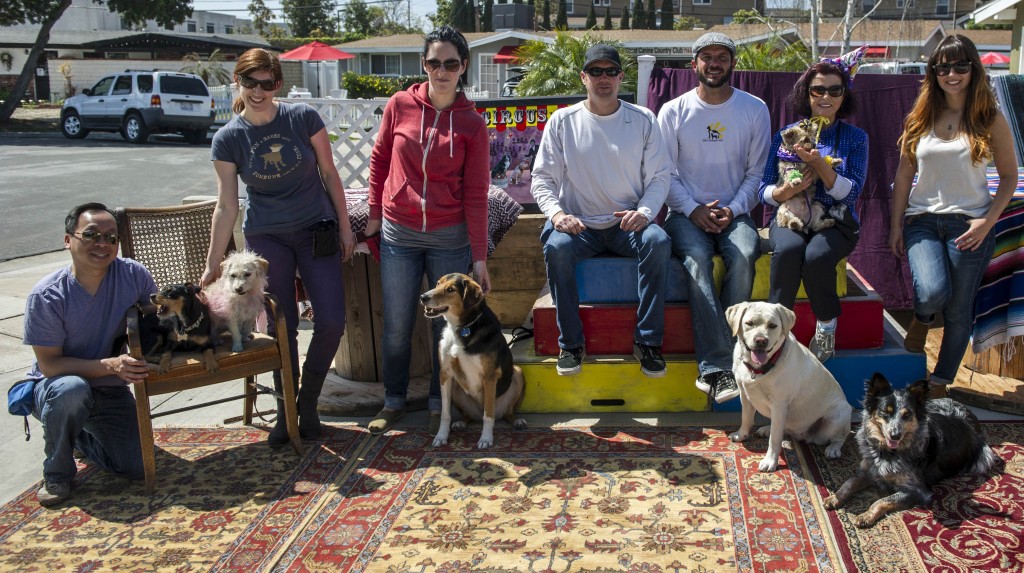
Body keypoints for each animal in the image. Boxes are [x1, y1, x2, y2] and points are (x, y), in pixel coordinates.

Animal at [417, 272, 524, 448]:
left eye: (451, 289)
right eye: (438, 283)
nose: (423, 297)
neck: (461, 327)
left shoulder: (489, 377)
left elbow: (488, 415)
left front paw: (486, 439)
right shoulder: (445, 374)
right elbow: (445, 414)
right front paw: (441, 436)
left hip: (517, 373)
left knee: (505, 412)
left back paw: (517, 421)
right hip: (456, 387)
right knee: (468, 415)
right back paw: (461, 423)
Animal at [724, 302, 851, 472]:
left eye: (772, 325)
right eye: (749, 323)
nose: (761, 340)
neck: (760, 369)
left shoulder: (779, 404)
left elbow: (775, 438)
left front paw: (770, 461)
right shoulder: (745, 395)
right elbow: (746, 418)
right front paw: (741, 434)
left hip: (839, 413)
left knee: (840, 437)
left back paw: (833, 449)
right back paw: (766, 428)